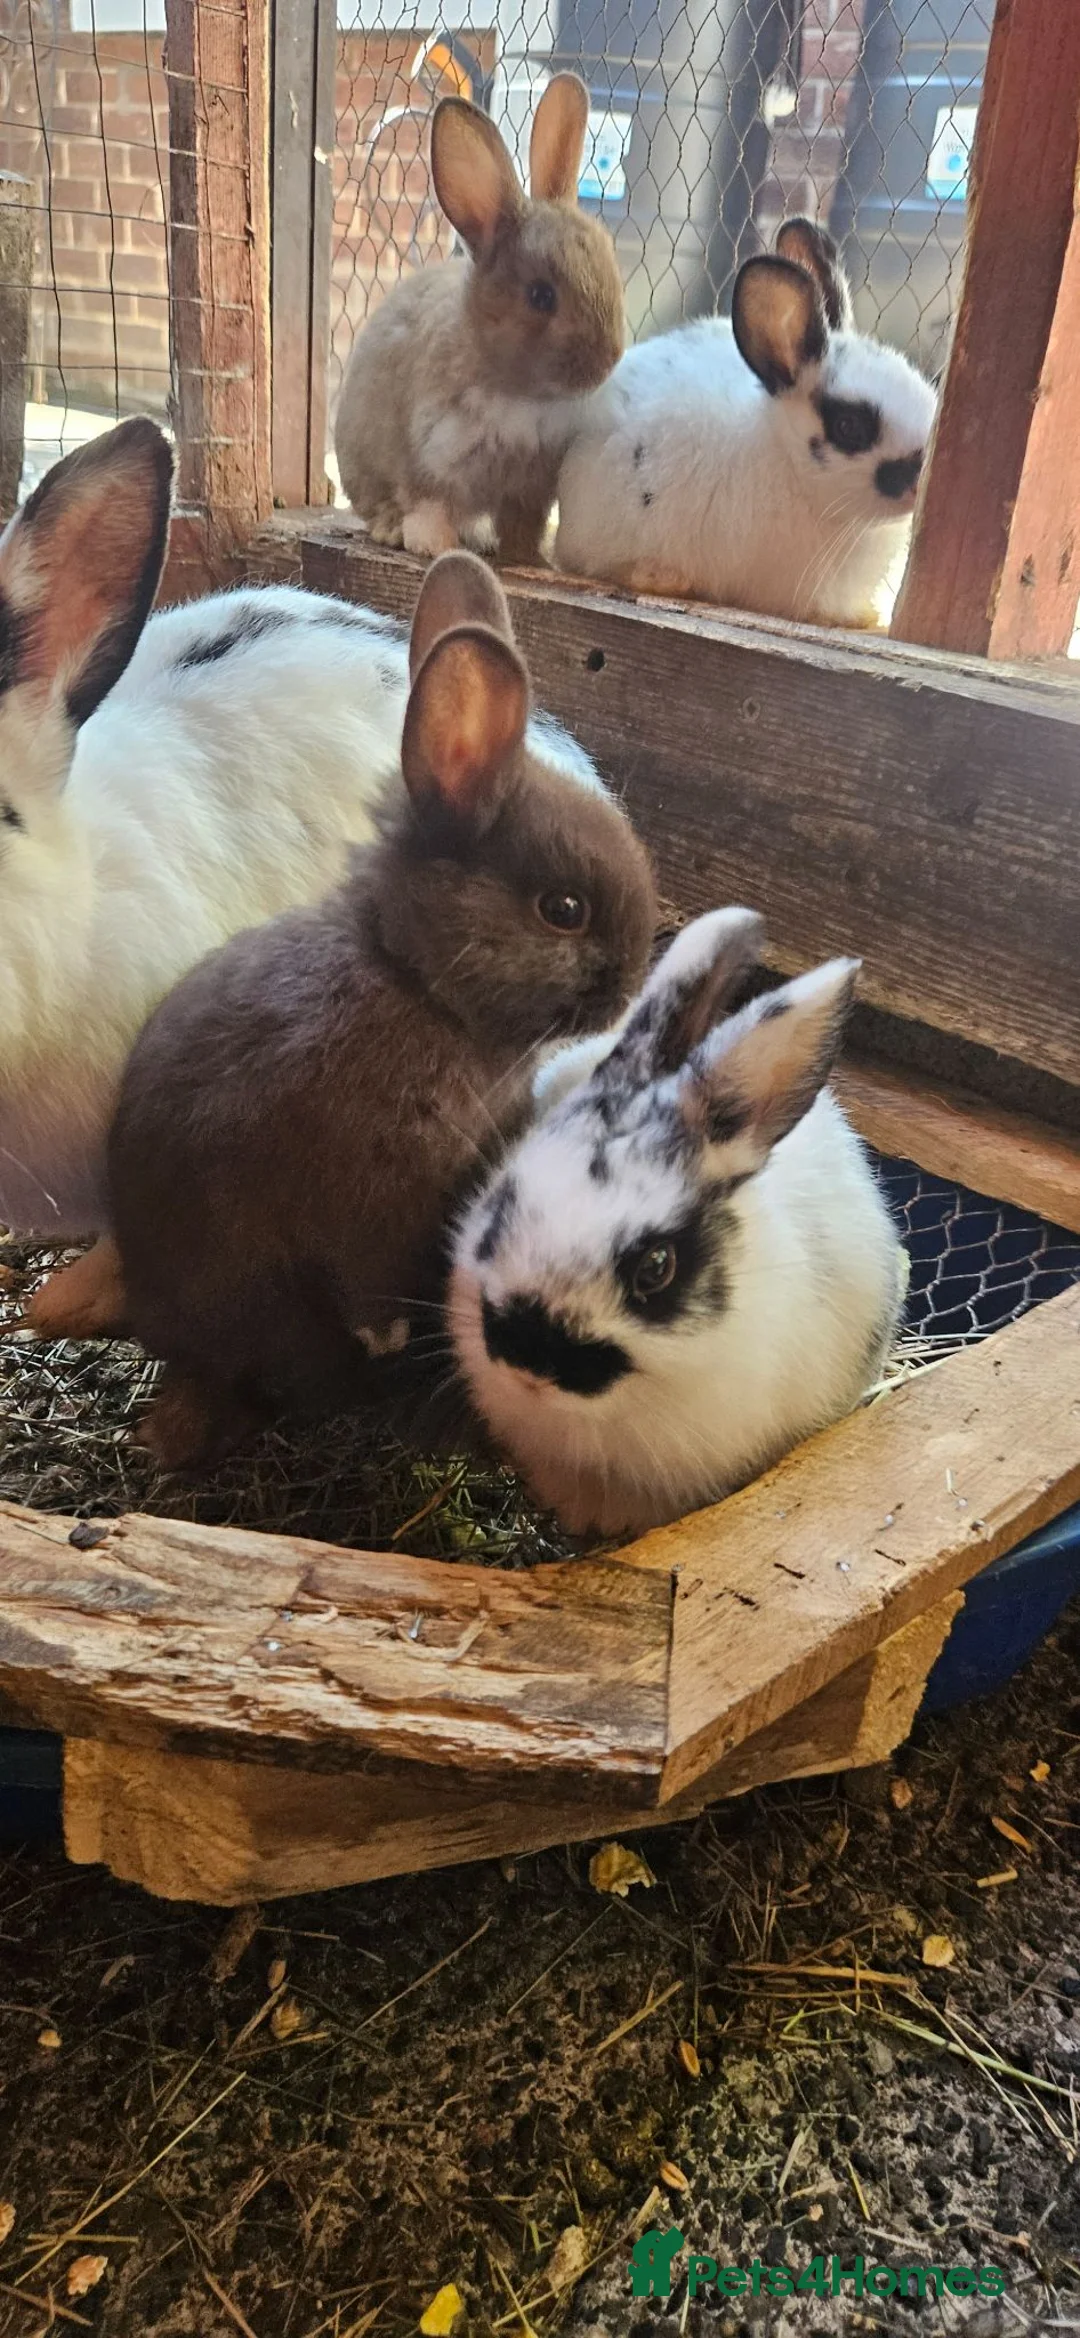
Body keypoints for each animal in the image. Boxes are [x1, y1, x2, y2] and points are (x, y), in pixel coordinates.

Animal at [333, 74, 625, 566]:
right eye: (541, 296)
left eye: (611, 265)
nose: (608, 362)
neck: (519, 393)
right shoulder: (430, 460)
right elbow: (428, 507)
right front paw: (432, 546)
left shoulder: (531, 490)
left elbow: (522, 526)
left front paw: (529, 560)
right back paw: (392, 529)